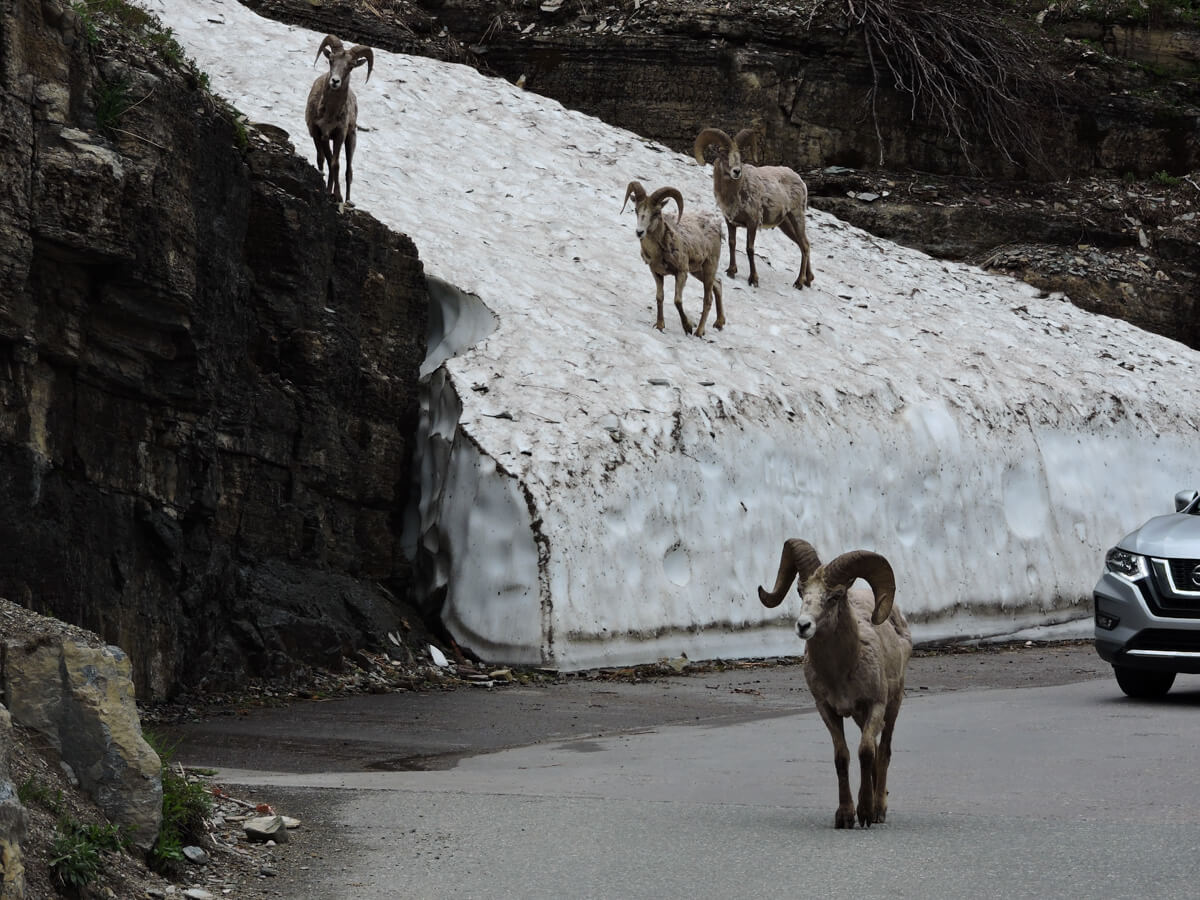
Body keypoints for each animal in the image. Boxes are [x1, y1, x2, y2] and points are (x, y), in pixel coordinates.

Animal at [302, 35, 372, 204]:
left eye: (351, 66)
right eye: (331, 60)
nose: (335, 81)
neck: (329, 114)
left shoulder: (339, 135)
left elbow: (335, 164)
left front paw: (338, 196)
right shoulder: (319, 134)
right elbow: (324, 160)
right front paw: (327, 190)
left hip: (351, 138)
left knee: (348, 171)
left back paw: (347, 200)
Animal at [624, 183, 724, 338]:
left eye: (656, 213)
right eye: (636, 210)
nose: (639, 232)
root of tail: (717, 226)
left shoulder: (681, 273)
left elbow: (677, 301)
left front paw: (687, 327)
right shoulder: (657, 273)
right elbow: (660, 297)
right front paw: (660, 326)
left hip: (709, 267)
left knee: (708, 299)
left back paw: (699, 332)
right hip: (698, 271)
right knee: (718, 284)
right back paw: (719, 324)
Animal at [696, 127, 816, 286]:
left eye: (740, 154)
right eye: (723, 153)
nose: (736, 171)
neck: (736, 192)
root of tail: (800, 181)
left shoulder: (752, 222)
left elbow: (750, 249)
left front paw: (753, 279)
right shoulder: (730, 222)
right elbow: (732, 243)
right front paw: (731, 271)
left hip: (797, 216)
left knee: (805, 245)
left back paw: (799, 282)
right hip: (786, 224)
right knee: (803, 245)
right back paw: (808, 280)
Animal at [753, 540, 912, 830]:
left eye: (835, 596)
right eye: (801, 591)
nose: (803, 626)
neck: (842, 671)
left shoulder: (875, 705)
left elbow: (865, 752)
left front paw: (865, 813)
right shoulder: (827, 710)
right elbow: (843, 756)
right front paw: (845, 816)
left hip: (893, 706)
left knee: (883, 752)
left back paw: (879, 810)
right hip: (861, 716)